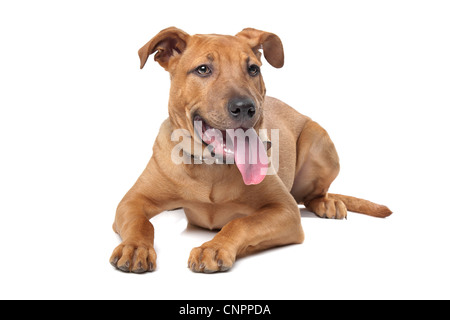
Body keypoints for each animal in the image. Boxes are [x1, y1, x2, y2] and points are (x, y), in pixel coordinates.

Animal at [109, 26, 390, 274]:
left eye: (253, 69)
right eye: (203, 69)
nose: (245, 107)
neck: (211, 169)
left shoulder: (284, 209)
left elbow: (240, 223)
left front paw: (213, 248)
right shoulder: (132, 202)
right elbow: (140, 223)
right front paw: (135, 247)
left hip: (319, 141)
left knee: (313, 195)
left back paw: (327, 203)